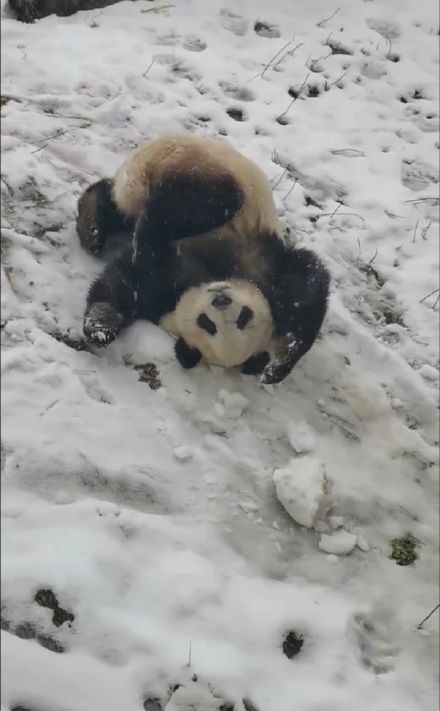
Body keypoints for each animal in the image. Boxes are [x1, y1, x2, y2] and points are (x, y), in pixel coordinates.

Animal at [77, 133, 330, 384]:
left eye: (240, 319)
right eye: (208, 323)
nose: (221, 299)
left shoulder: (159, 295)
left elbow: (125, 284)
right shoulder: (257, 261)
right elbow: (306, 282)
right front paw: (278, 365)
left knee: (123, 207)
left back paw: (93, 224)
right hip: (203, 167)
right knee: (204, 203)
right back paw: (118, 232)